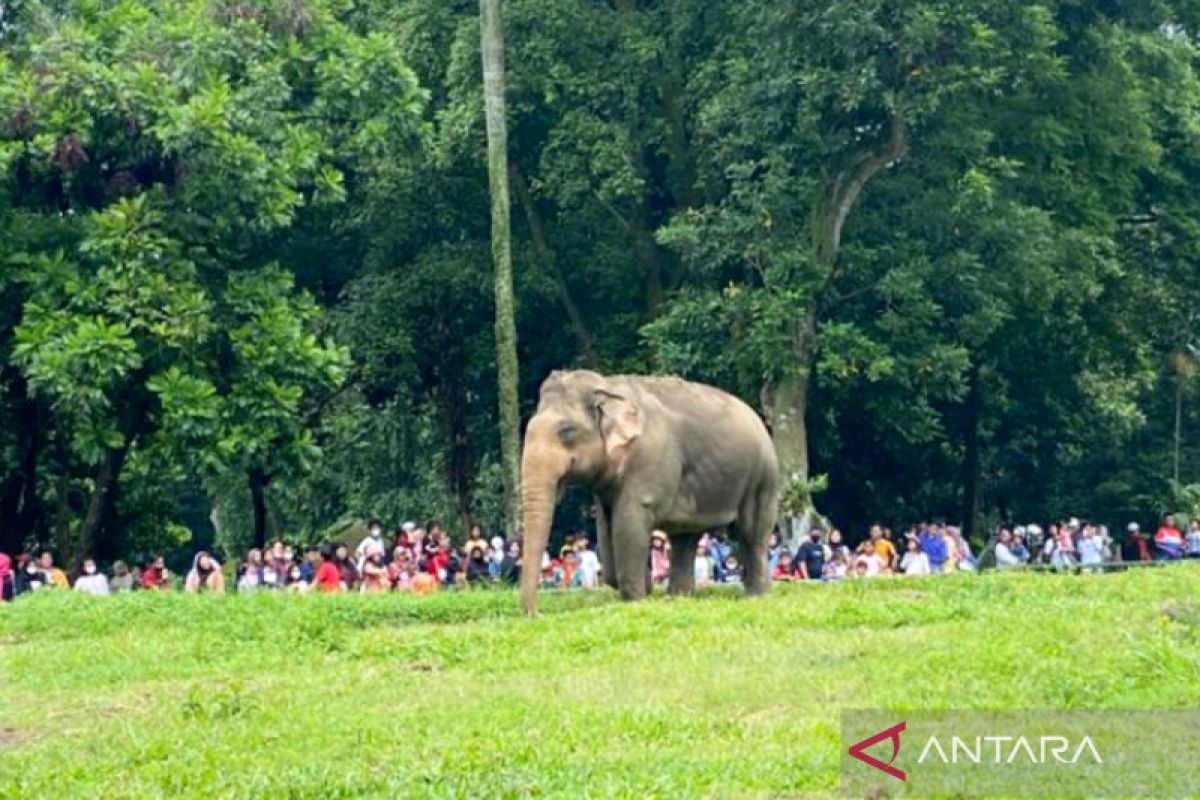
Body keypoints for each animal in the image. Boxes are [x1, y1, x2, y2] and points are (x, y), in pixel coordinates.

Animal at [520, 371, 782, 618]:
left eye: (567, 431)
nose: (537, 614)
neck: (607, 387)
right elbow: (606, 525)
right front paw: (645, 587)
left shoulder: (648, 458)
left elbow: (630, 520)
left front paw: (636, 599)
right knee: (685, 538)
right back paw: (678, 598)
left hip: (762, 478)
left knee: (751, 533)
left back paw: (756, 595)